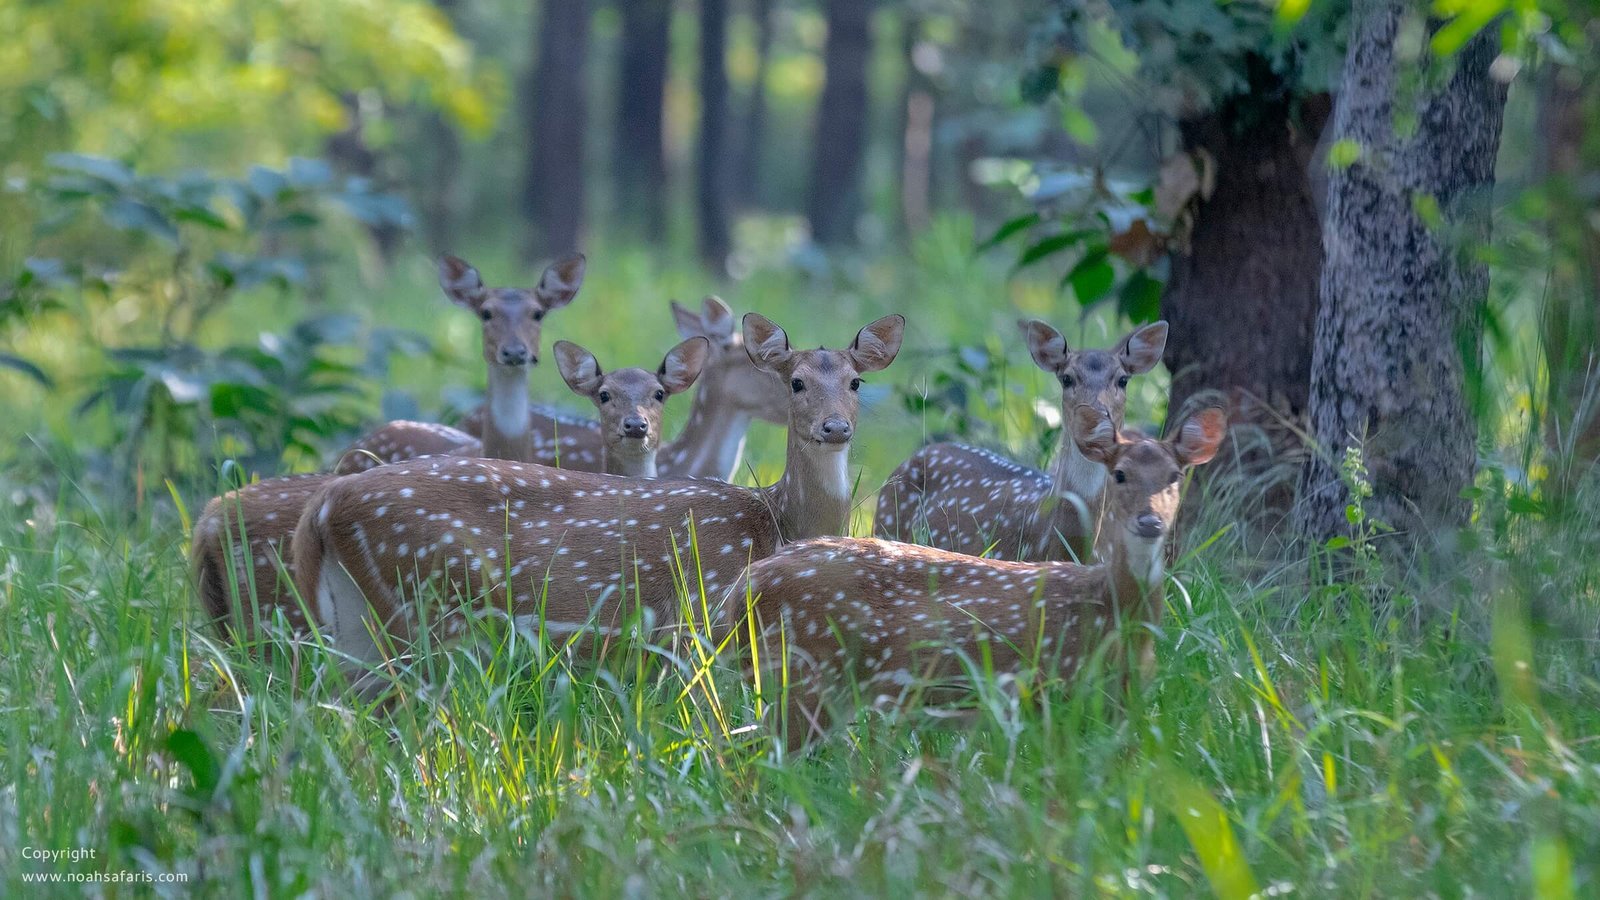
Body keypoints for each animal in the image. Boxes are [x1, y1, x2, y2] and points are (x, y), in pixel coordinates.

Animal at [288, 314, 904, 685]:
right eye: (795, 382)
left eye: (856, 382)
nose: (834, 427)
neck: (774, 522)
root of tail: (325, 504)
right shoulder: (691, 621)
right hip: (423, 608)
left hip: (353, 620)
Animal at [725, 403, 1225, 748]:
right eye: (1119, 474)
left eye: (1175, 475)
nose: (1150, 521)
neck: (1110, 613)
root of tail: (745, 584)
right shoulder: (1047, 693)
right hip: (805, 673)